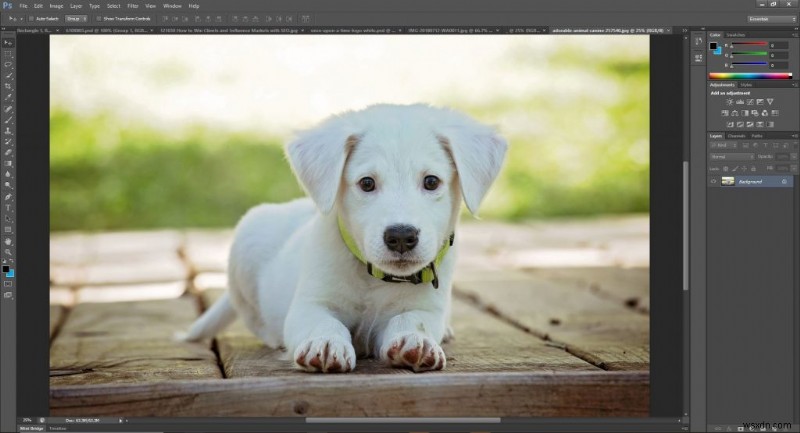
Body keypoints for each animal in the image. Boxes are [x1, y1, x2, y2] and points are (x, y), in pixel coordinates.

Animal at [184, 104, 504, 372]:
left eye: (431, 181)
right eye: (367, 183)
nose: (401, 236)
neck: (374, 278)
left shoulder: (425, 308)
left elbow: (411, 320)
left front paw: (416, 341)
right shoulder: (310, 304)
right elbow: (323, 322)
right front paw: (325, 343)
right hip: (247, 243)